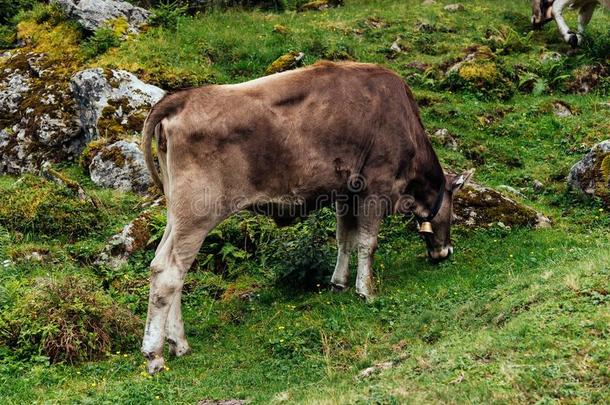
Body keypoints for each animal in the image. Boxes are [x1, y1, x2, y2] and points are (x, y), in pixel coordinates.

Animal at [141, 60, 470, 372]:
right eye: (454, 214)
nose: (445, 252)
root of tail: (181, 98)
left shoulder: (344, 193)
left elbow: (345, 240)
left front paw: (339, 283)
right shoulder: (375, 188)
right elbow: (368, 243)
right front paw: (366, 291)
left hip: (177, 215)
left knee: (164, 265)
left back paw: (179, 343)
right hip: (197, 213)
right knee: (170, 273)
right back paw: (154, 355)